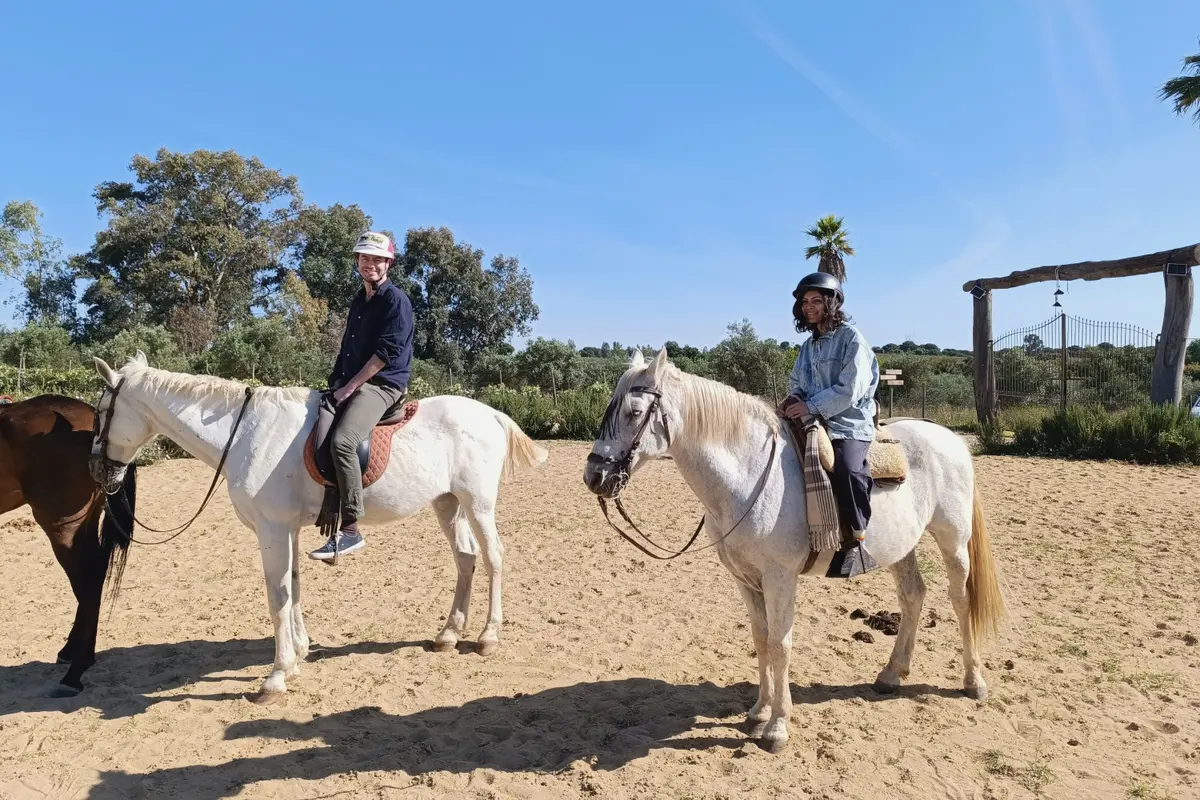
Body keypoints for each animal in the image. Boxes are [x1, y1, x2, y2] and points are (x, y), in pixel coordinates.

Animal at [87, 352, 548, 702]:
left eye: (100, 413)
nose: (97, 470)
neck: (245, 434)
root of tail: (490, 413)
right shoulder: (287, 529)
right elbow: (293, 586)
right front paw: (298, 654)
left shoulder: (272, 530)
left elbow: (277, 596)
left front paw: (276, 677)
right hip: (447, 503)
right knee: (466, 559)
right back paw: (449, 634)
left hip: (478, 503)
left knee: (493, 557)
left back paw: (488, 636)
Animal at [582, 348, 1005, 752]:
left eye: (635, 412)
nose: (594, 476)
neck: (750, 475)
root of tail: (948, 437)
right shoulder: (745, 579)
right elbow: (761, 638)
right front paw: (758, 712)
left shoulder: (780, 578)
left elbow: (780, 644)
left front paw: (777, 727)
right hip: (901, 547)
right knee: (913, 595)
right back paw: (890, 676)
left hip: (952, 540)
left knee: (960, 599)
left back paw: (974, 681)